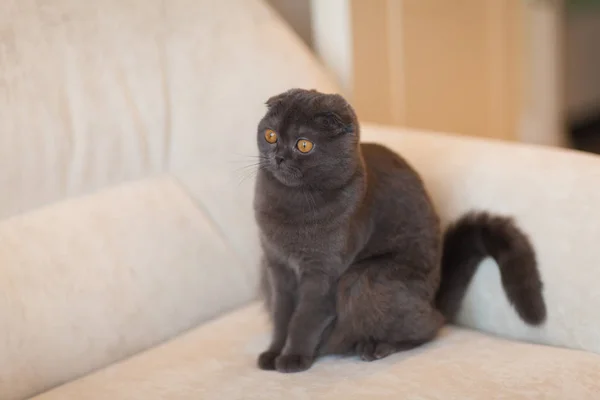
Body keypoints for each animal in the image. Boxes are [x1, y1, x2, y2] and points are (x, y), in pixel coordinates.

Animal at [251, 89, 548, 374]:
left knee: (429, 327)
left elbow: (304, 318)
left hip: (364, 279)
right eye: (270, 135)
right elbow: (281, 315)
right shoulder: (276, 266)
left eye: (303, 144)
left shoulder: (323, 273)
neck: (291, 206)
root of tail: (434, 301)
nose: (278, 157)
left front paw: (292, 358)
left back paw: (375, 347)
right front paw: (273, 354)